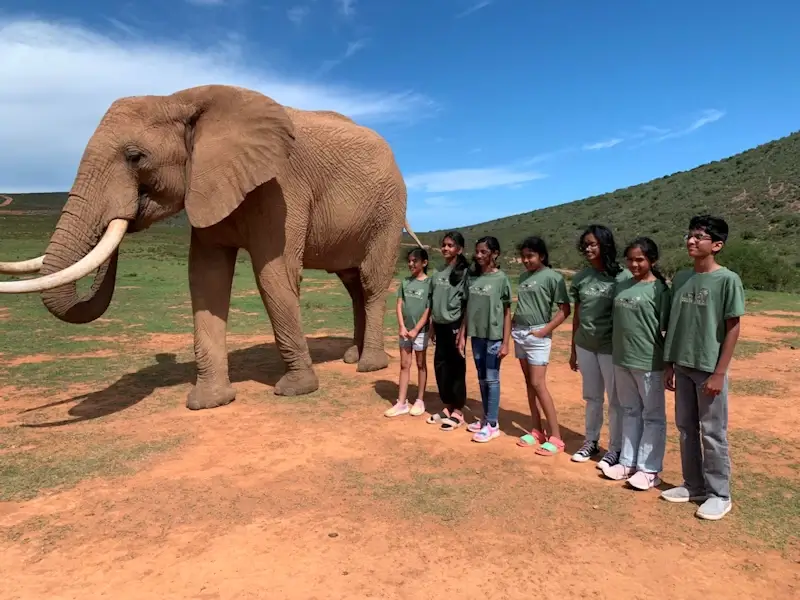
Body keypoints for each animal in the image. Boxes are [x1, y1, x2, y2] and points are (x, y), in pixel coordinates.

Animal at [0, 84, 424, 410]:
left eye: (135, 157)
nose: (127, 212)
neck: (180, 99)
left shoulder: (281, 187)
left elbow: (273, 275)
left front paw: (295, 390)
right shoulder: (208, 184)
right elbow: (205, 278)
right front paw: (209, 402)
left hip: (388, 210)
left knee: (370, 282)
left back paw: (369, 366)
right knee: (352, 285)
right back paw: (353, 356)